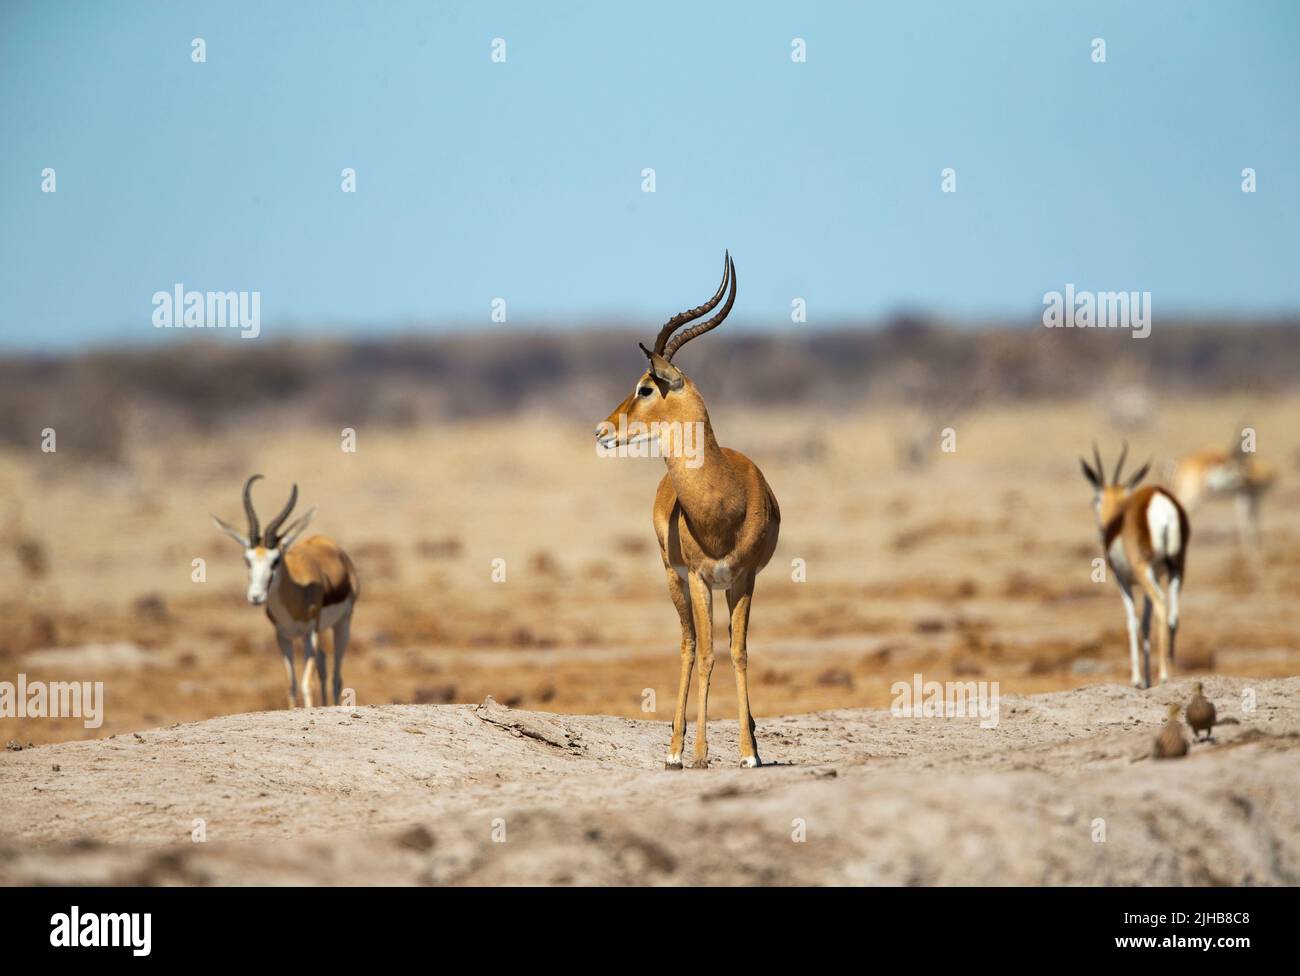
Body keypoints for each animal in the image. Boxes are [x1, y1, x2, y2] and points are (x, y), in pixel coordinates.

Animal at [212, 475, 359, 708]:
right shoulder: (283, 636)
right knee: (323, 662)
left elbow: (307, 683)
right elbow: (291, 685)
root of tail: (328, 543)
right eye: (247, 560)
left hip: (342, 624)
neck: (295, 597)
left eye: (276, 560)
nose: (256, 596)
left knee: (336, 677)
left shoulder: (309, 633)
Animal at [597, 253, 780, 769]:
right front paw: (699, 753)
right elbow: (707, 655)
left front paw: (749, 753)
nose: (602, 430)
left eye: (645, 387)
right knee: (689, 645)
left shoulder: (743, 578)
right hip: (673, 578)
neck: (722, 503)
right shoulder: (699, 578)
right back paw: (675, 750)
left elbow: (738, 653)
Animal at [1080, 443, 1189, 689]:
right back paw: (1171, 671)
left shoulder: (1122, 579)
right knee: (1173, 615)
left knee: (1161, 604)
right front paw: (1146, 679)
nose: (1101, 530)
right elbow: (1145, 623)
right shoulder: (1154, 575)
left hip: (1144, 569)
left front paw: (1137, 679)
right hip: (1177, 567)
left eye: (1095, 499)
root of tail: (1160, 500)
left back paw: (1164, 675)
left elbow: (1132, 621)